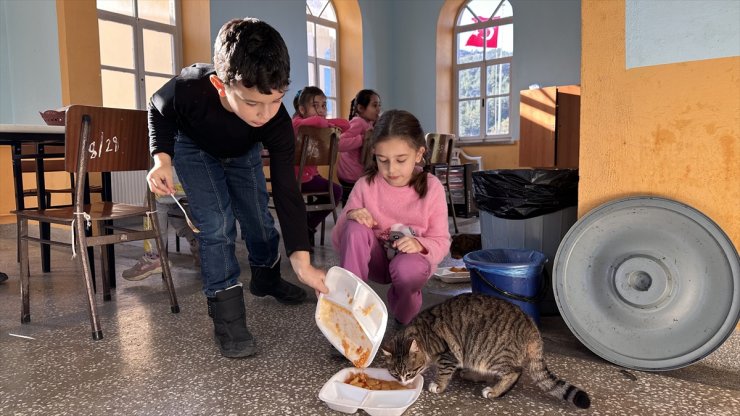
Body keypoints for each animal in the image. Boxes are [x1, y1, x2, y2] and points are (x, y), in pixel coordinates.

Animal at [382, 292, 588, 410]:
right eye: (395, 374)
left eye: (410, 373)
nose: (403, 382)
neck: (422, 333)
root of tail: (531, 325)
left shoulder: (447, 355)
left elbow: (443, 373)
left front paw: (438, 386)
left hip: (490, 354)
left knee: (514, 372)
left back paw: (495, 391)